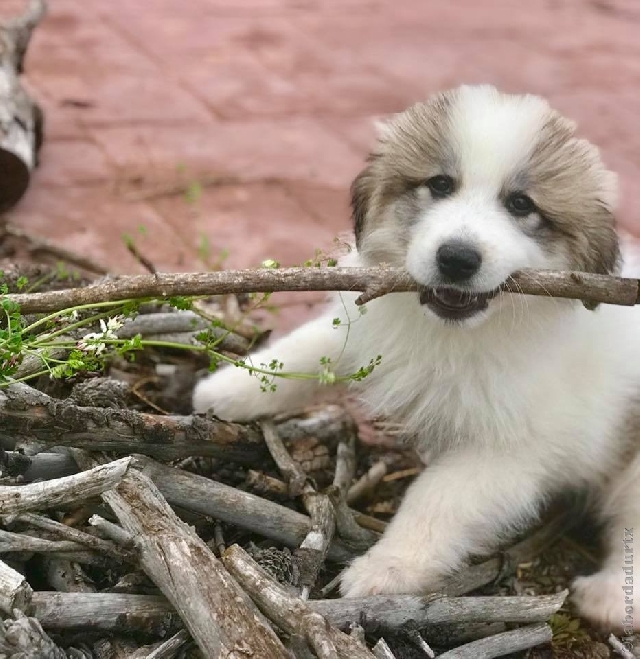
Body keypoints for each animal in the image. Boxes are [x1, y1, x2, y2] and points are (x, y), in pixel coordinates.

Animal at [192, 85, 640, 632]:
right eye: (440, 184)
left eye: (521, 204)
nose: (457, 259)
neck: (461, 333)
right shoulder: (371, 325)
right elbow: (308, 348)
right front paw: (227, 389)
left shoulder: (510, 454)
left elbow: (437, 500)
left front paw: (387, 568)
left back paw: (611, 598)